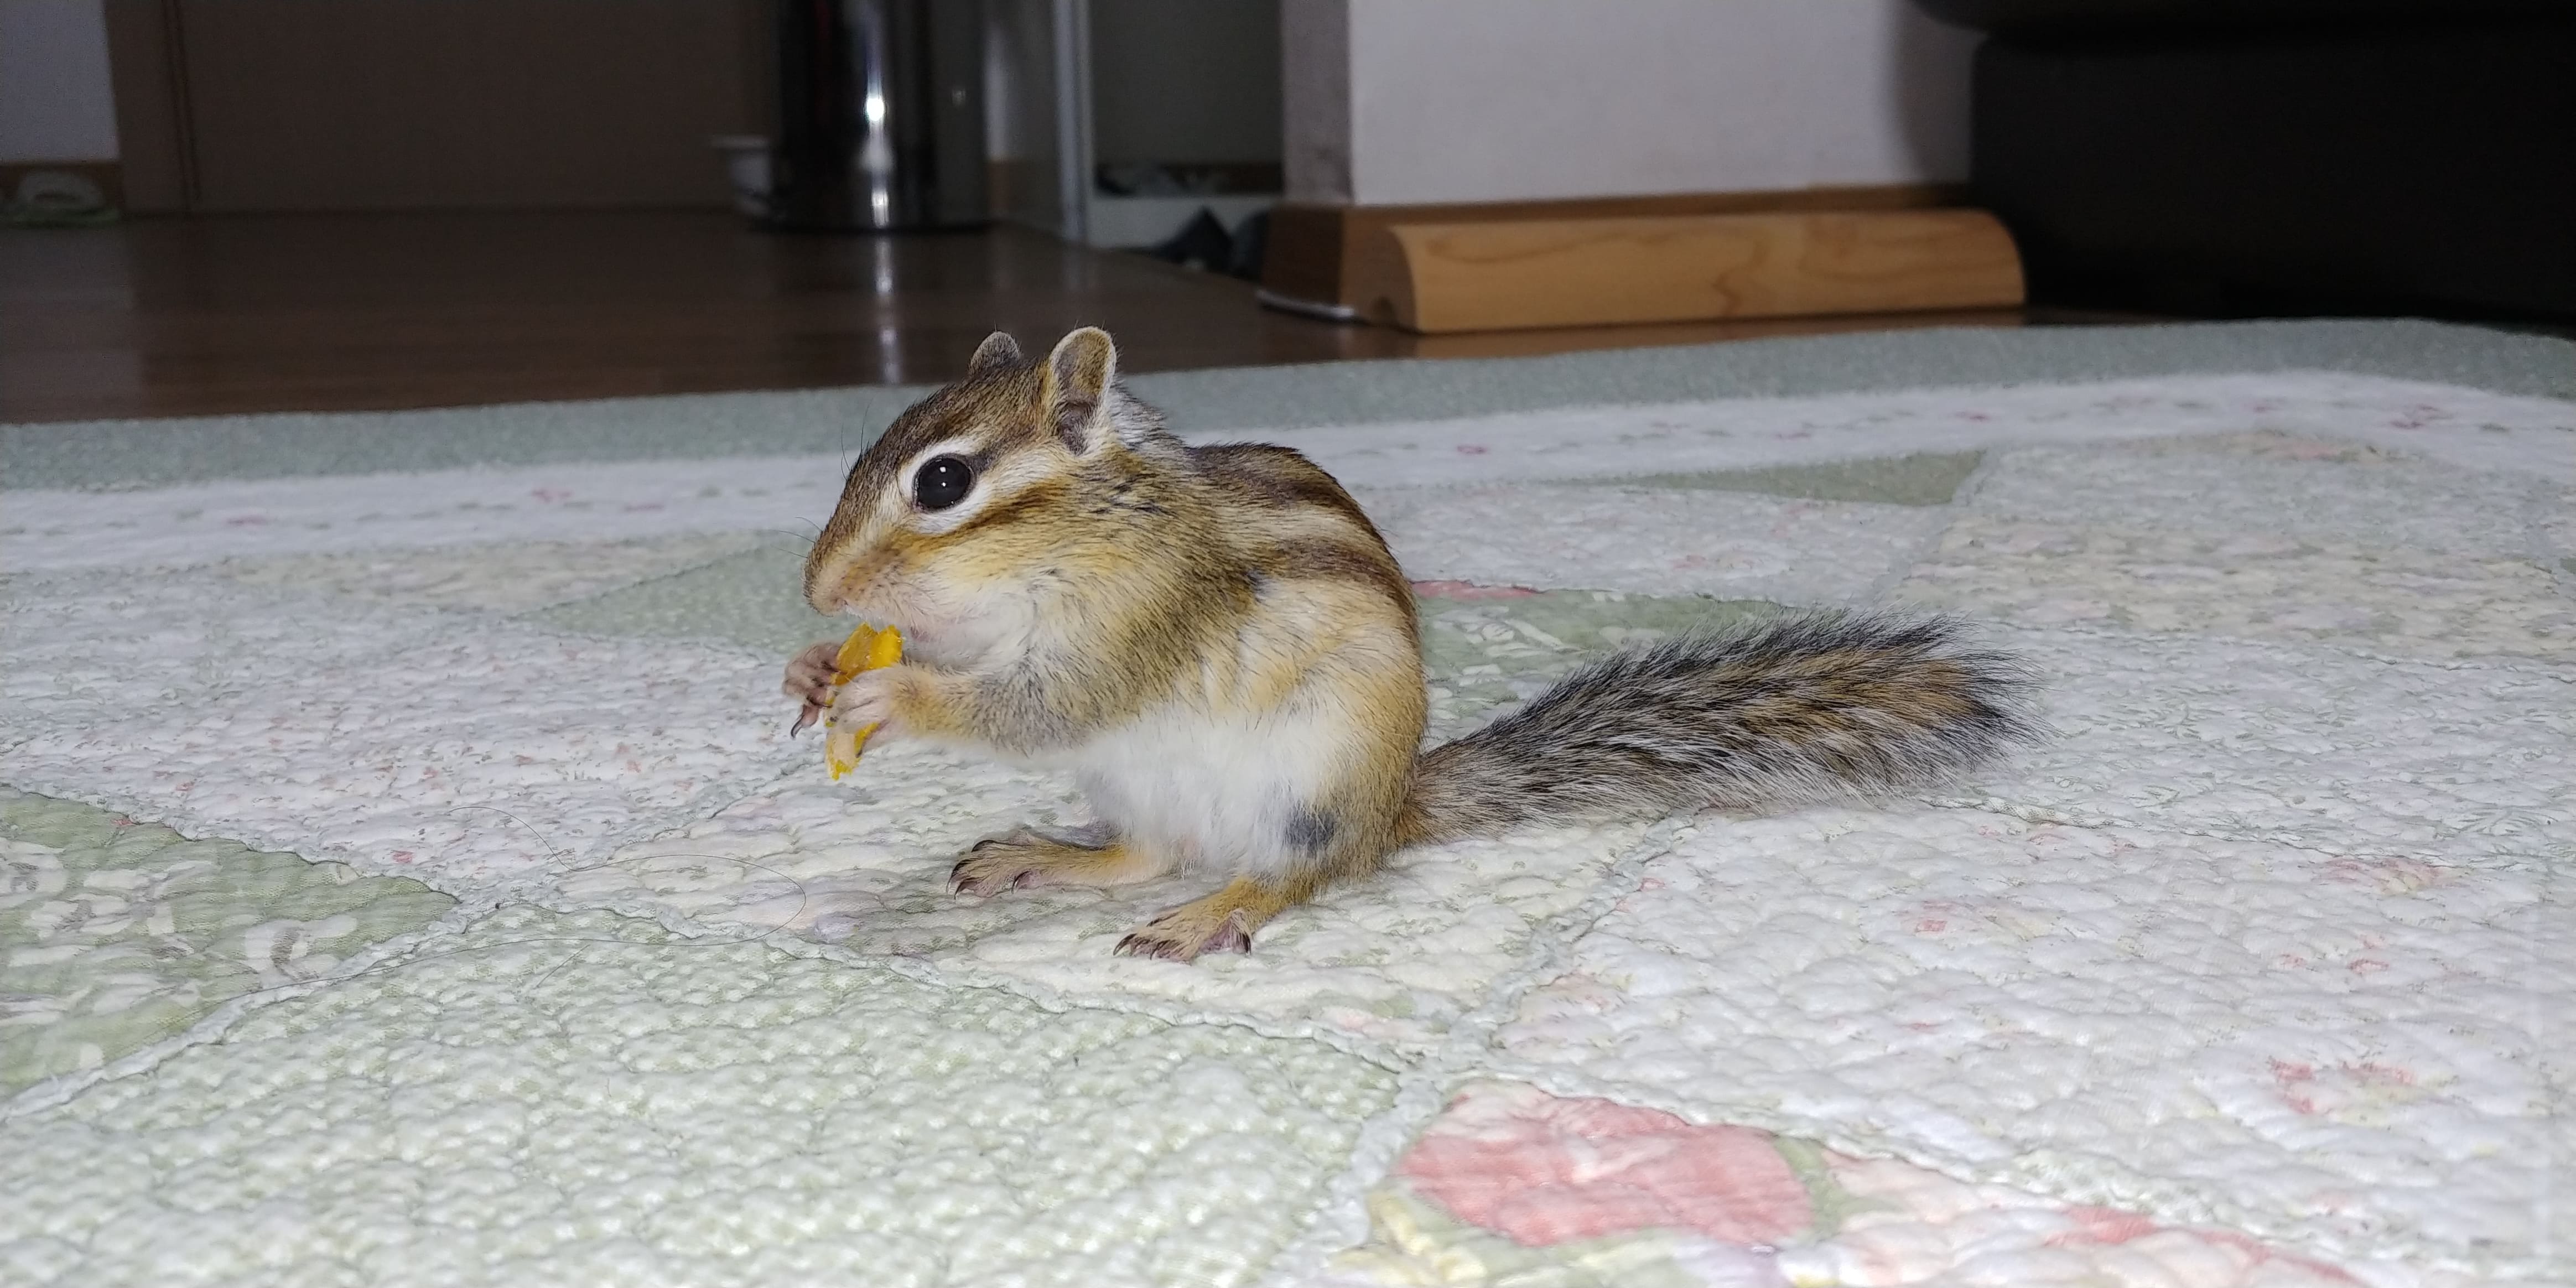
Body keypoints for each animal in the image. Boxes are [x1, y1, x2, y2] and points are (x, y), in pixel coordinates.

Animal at [785, 327, 2039, 962]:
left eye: (942, 482)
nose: (815, 586)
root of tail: (1396, 804)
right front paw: (814, 668)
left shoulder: (1129, 632)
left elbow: (1029, 704)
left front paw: (893, 698)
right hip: (1134, 784)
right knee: (1146, 852)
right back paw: (1040, 854)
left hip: (1309, 785)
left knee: (1294, 874)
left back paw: (1217, 912)